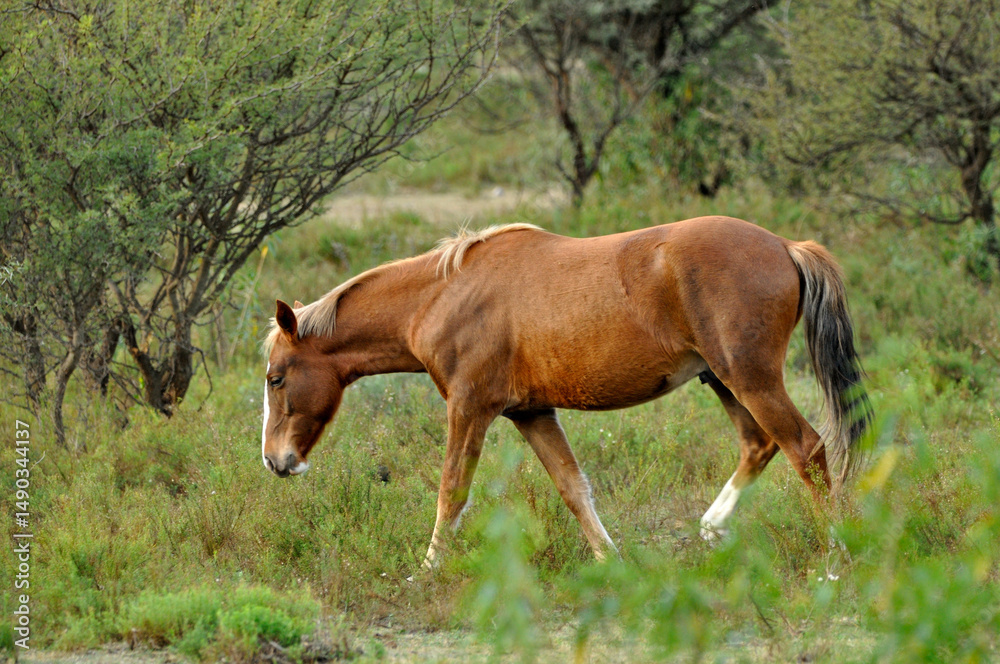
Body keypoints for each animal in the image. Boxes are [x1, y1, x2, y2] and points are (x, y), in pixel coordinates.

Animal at [261, 216, 872, 565]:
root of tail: (785, 246)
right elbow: (574, 489)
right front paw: (610, 561)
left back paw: (835, 557)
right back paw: (711, 527)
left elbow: (452, 492)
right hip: (722, 381)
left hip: (750, 379)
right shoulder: (531, 414)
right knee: (759, 446)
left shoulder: (471, 408)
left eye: (276, 378)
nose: (274, 461)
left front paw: (426, 570)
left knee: (806, 449)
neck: (445, 294)